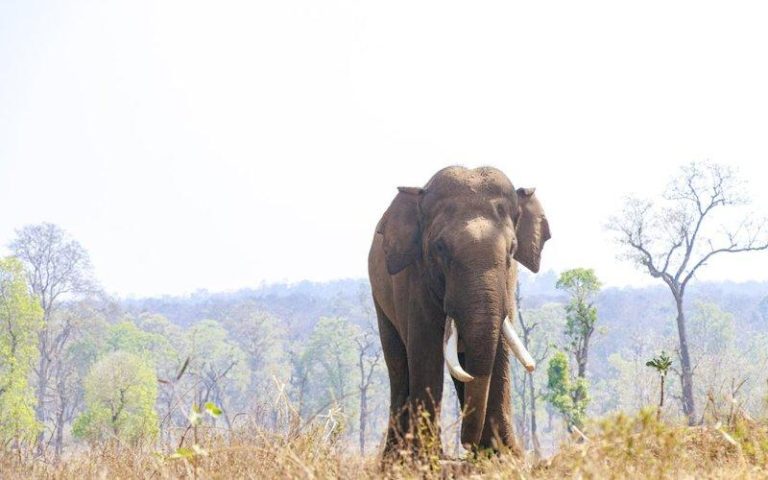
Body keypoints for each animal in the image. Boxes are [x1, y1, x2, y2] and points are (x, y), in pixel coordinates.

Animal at [367, 166, 550, 457]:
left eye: (512, 249)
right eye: (440, 248)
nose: (467, 445)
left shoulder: (508, 282)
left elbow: (499, 350)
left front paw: (504, 457)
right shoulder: (414, 278)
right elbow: (425, 352)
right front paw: (425, 460)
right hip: (380, 300)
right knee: (398, 367)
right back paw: (395, 459)